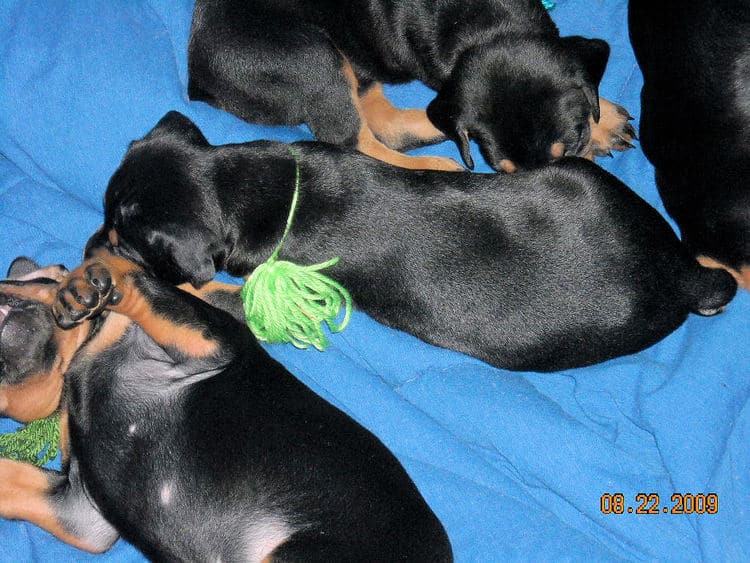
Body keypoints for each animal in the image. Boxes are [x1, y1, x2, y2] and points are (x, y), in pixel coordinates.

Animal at [0, 258, 452, 560]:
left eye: (13, 280)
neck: (83, 351)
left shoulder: (212, 343)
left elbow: (144, 287)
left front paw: (91, 280)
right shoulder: (82, 512)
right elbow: (12, 480)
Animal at [85, 112, 736, 372]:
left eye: (125, 239)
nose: (91, 248)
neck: (242, 182)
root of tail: (684, 273)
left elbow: (209, 296)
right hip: (580, 179)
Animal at [187, 0, 636, 174]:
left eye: (571, 146)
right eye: (501, 170)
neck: (487, 28)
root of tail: (198, 75)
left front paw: (604, 123)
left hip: (357, 63)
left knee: (386, 124)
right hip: (311, 57)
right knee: (353, 139)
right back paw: (440, 167)